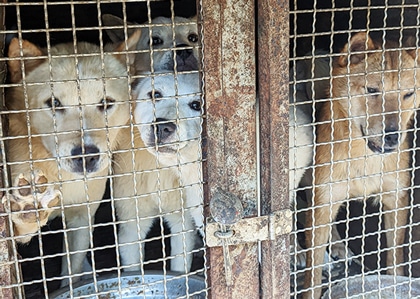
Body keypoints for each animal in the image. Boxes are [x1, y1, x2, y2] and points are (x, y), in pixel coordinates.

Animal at [2, 30, 141, 286]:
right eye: (54, 103)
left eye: (106, 103)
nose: (87, 156)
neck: (60, 178)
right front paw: (28, 206)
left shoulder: (82, 219)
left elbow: (72, 271)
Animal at [113, 73, 202, 274]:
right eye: (155, 94)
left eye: (196, 105)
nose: (162, 127)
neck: (160, 169)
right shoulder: (131, 224)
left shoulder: (182, 224)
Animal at [304, 31, 418, 298]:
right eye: (372, 89)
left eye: (408, 94)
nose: (393, 136)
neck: (365, 158)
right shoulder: (323, 201)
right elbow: (312, 275)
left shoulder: (396, 200)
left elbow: (395, 259)